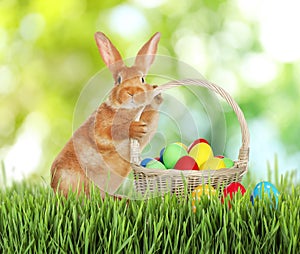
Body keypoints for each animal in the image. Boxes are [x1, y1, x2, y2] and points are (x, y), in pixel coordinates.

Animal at [51, 31, 162, 197]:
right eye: (119, 80)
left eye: (142, 79)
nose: (132, 92)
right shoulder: (100, 128)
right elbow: (112, 132)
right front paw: (135, 128)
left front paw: (156, 94)